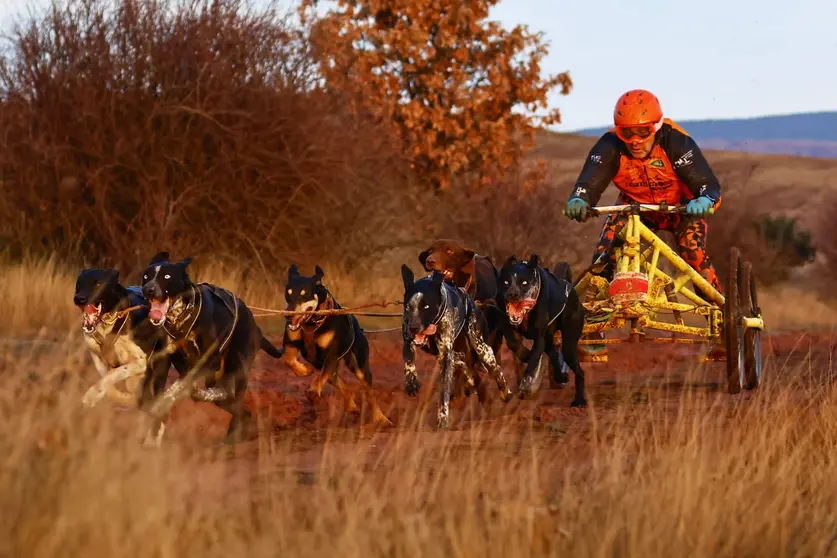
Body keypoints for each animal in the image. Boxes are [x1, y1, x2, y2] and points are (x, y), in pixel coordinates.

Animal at [74, 270, 170, 422]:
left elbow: (114, 374)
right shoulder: (97, 358)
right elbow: (108, 380)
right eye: (79, 283)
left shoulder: (141, 362)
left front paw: (92, 396)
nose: (79, 298)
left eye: (98, 283)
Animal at [135, 253, 284, 446]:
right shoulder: (162, 362)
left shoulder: (209, 361)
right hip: (217, 380)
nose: (148, 289)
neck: (180, 319)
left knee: (237, 402)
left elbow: (174, 390)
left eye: (167, 276)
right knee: (241, 410)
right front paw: (152, 436)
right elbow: (155, 396)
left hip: (238, 367)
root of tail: (256, 327)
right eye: (146, 276)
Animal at [276, 264, 390, 426]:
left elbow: (318, 380)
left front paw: (313, 389)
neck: (312, 324)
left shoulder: (331, 354)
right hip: (331, 367)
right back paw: (352, 406)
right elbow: (288, 359)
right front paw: (304, 370)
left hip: (359, 366)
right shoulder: (292, 345)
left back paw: (380, 418)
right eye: (288, 293)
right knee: (343, 385)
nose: (288, 315)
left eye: (305, 294)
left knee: (370, 393)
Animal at [400, 264, 512, 430]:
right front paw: (411, 382)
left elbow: (444, 393)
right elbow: (408, 361)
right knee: (464, 363)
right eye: (408, 307)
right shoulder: (409, 342)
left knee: (495, 369)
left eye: (426, 306)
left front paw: (443, 418)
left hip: (482, 348)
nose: (413, 328)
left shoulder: (446, 355)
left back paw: (505, 392)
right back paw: (471, 381)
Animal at [496, 255, 588, 406]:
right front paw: (525, 354)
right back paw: (560, 377)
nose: (512, 294)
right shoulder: (506, 324)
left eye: (525, 282)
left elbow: (533, 360)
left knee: (579, 371)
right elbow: (512, 343)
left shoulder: (539, 339)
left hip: (569, 344)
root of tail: (571, 288)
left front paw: (525, 383)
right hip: (550, 340)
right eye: (506, 282)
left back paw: (579, 399)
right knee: (554, 354)